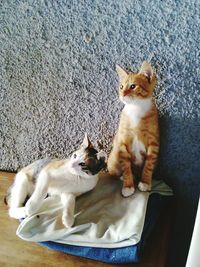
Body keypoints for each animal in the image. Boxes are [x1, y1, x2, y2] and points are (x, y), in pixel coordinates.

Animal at [107, 61, 160, 198]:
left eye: (133, 86)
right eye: (121, 86)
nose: (122, 94)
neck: (136, 108)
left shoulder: (154, 142)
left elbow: (149, 164)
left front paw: (145, 182)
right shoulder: (122, 142)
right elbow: (126, 167)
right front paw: (128, 186)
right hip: (113, 161)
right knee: (115, 172)